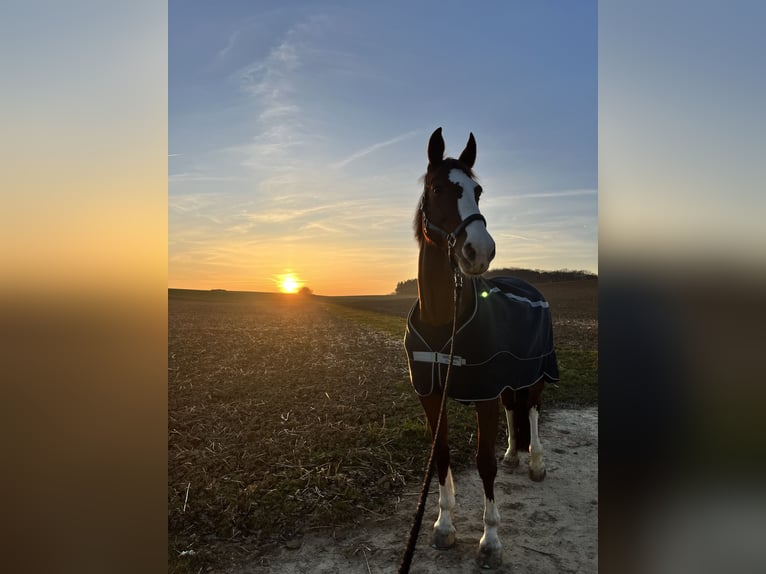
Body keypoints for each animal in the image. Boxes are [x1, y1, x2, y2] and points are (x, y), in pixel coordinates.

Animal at [403, 128, 559, 569]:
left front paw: (490, 540)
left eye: (478, 190)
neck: (445, 323)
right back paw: (513, 455)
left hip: (536, 372)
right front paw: (443, 526)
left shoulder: (484, 393)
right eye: (437, 188)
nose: (480, 251)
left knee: (533, 410)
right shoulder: (431, 394)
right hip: (506, 381)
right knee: (512, 408)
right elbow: (441, 455)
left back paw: (535, 463)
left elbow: (483, 463)